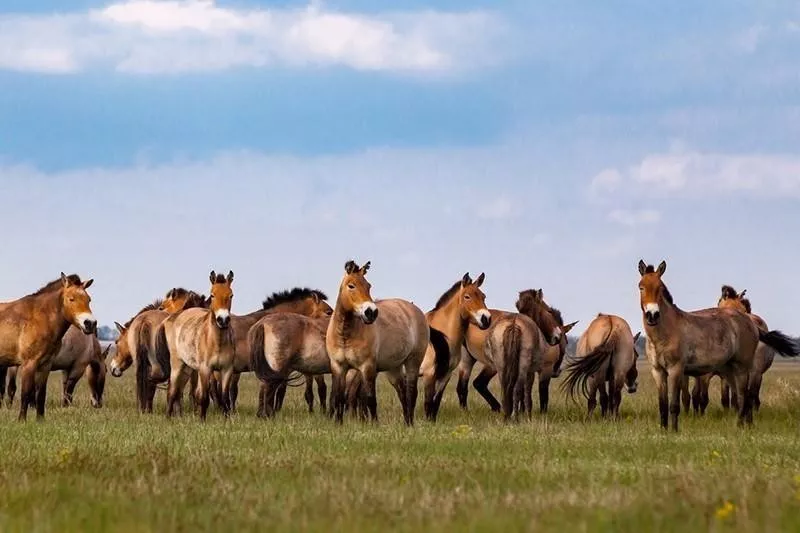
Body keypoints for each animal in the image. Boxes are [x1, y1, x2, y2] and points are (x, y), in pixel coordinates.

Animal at [0, 274, 97, 420]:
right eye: (71, 299)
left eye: (88, 299)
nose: (90, 323)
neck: (38, 319)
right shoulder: (29, 364)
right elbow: (26, 393)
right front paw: (22, 420)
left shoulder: (45, 365)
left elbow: (41, 394)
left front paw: (40, 420)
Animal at [158, 270, 236, 420]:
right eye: (213, 295)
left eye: (231, 295)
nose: (223, 320)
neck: (217, 342)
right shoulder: (204, 369)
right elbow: (203, 396)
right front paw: (201, 420)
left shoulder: (226, 370)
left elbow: (224, 398)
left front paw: (227, 420)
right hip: (177, 364)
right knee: (172, 390)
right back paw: (168, 417)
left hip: (188, 368)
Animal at [326, 260, 432, 426]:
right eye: (351, 285)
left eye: (368, 285)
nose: (371, 312)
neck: (345, 335)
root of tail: (415, 310)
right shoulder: (338, 367)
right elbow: (338, 397)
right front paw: (338, 424)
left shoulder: (367, 367)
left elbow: (370, 398)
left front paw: (374, 425)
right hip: (394, 368)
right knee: (402, 393)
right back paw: (406, 422)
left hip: (413, 362)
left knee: (411, 393)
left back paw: (410, 423)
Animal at [456, 286, 564, 416]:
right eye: (549, 311)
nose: (558, 336)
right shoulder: (542, 370)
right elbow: (539, 394)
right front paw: (535, 413)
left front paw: (522, 411)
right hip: (494, 366)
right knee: (482, 383)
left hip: (468, 359)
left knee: (463, 386)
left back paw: (467, 411)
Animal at [636, 260, 800, 430]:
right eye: (641, 287)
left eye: (660, 288)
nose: (652, 315)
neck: (666, 332)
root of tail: (751, 323)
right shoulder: (658, 371)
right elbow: (662, 404)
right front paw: (663, 430)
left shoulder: (676, 370)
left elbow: (674, 405)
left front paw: (674, 431)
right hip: (730, 370)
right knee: (742, 397)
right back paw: (747, 425)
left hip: (742, 368)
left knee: (743, 396)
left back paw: (740, 426)